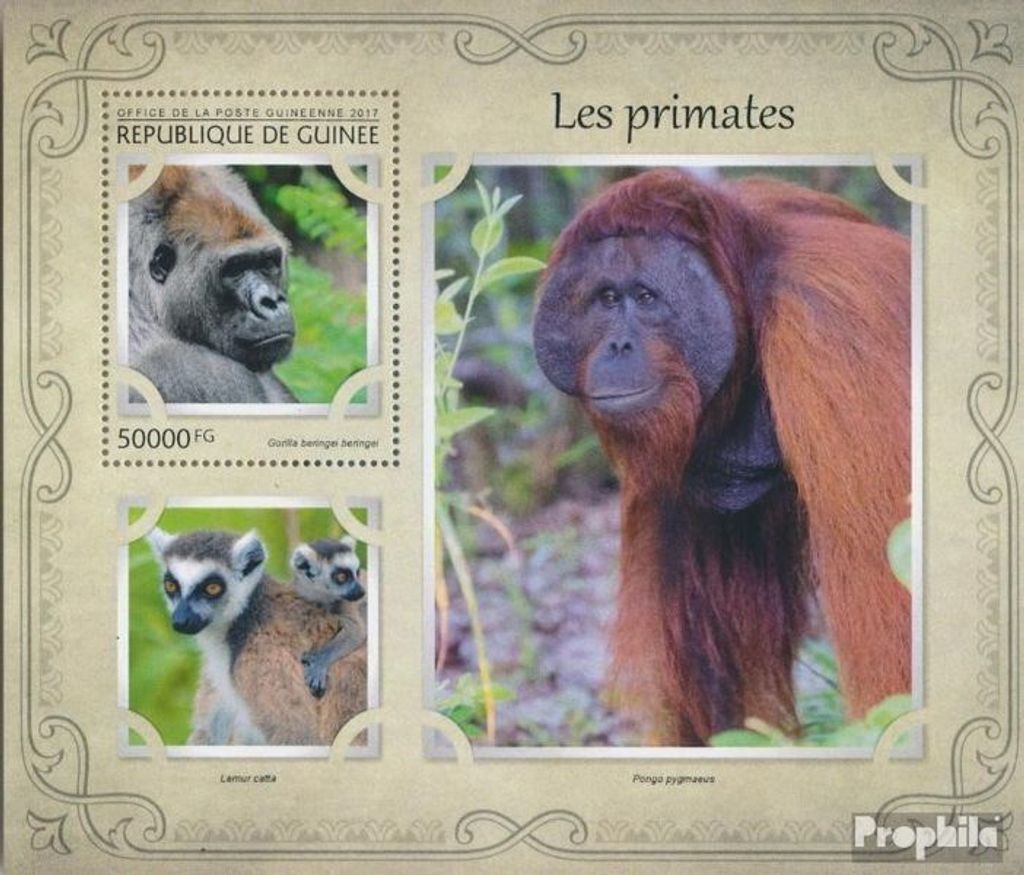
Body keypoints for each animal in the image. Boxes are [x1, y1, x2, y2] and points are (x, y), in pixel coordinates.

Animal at [289, 536, 368, 699]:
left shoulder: (345, 602)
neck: (321, 597)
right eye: (342, 577)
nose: (362, 591)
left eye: (357, 573)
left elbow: (356, 630)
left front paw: (319, 661)